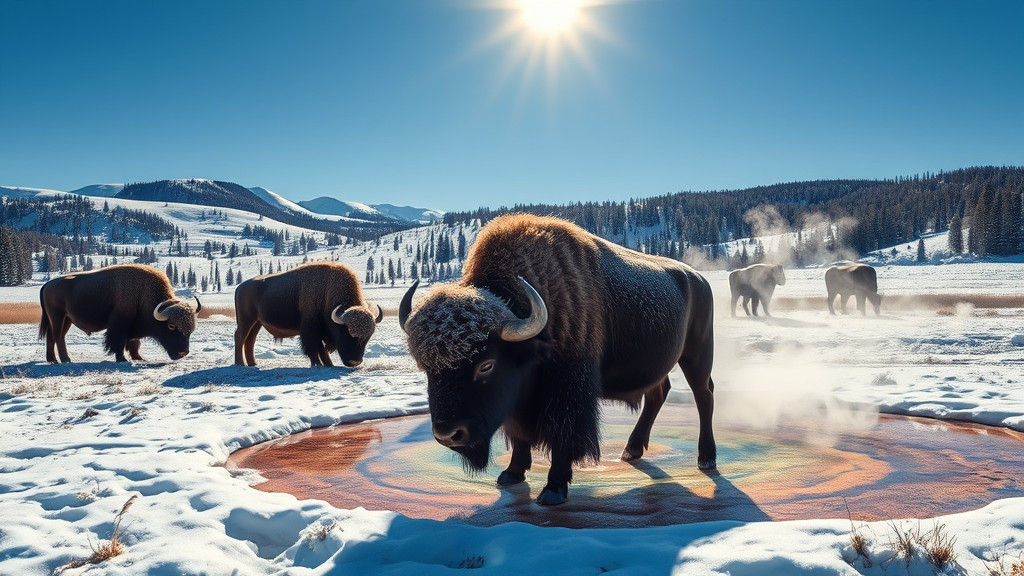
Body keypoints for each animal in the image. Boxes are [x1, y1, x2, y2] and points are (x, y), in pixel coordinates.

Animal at [39, 264, 200, 363]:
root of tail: (47, 285)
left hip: (66, 319)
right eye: (171, 326)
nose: (183, 353)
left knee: (51, 337)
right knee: (58, 337)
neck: (144, 293)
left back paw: (53, 360)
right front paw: (122, 359)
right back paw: (66, 360)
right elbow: (119, 341)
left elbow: (134, 343)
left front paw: (139, 358)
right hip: (58, 317)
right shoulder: (120, 324)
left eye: (191, 330)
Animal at [233, 262, 382, 367]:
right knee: (240, 337)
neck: (327, 291)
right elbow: (314, 348)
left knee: (250, 340)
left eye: (367, 338)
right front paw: (317, 364)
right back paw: (240, 364)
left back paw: (253, 363)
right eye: (346, 332)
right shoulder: (311, 328)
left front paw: (329, 365)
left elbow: (321, 349)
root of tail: (240, 287)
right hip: (246, 320)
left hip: (256, 323)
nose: (354, 362)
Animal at [399, 214, 716, 506]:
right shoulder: (519, 401)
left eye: (486, 364)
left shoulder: (568, 394)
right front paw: (511, 474)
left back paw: (706, 458)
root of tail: (698, 278)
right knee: (657, 394)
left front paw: (553, 490)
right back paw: (631, 450)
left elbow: (563, 436)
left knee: (704, 396)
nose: (447, 435)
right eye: (426, 367)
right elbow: (519, 434)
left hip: (697, 355)